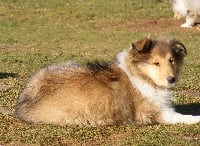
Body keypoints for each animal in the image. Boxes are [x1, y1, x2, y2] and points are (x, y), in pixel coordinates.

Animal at [14, 38, 200, 126]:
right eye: (156, 63)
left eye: (171, 60)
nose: (172, 79)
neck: (140, 74)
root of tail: (23, 102)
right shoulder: (148, 112)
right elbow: (177, 116)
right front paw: (195, 119)